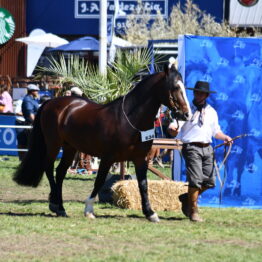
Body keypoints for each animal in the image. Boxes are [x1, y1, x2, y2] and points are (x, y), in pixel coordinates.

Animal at [13, 64, 189, 222]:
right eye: (175, 87)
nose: (186, 114)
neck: (129, 120)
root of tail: (51, 102)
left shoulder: (140, 159)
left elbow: (143, 185)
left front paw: (150, 213)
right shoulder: (108, 158)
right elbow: (99, 181)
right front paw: (89, 209)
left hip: (70, 148)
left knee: (60, 172)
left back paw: (60, 207)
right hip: (53, 144)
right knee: (49, 169)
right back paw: (56, 204)